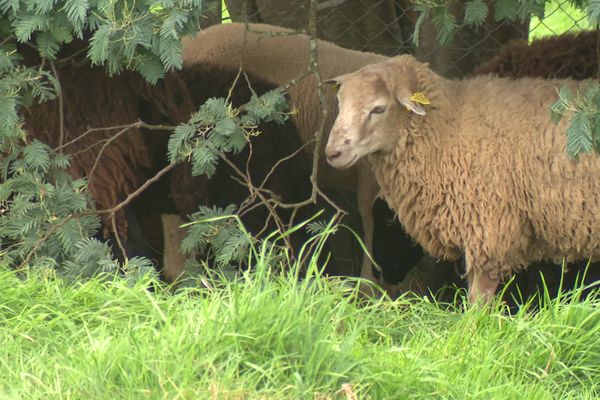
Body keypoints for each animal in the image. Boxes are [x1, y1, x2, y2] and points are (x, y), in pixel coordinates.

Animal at [326, 54, 596, 302]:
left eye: (379, 109)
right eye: (340, 103)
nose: (332, 153)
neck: (447, 127)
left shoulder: (489, 230)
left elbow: (478, 299)